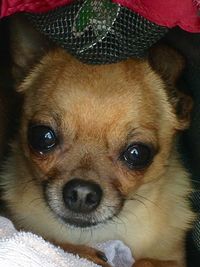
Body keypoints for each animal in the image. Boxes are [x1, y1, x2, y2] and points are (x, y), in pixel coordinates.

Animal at [0, 16, 195, 266]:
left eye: (137, 154)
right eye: (42, 137)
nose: (82, 193)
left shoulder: (174, 258)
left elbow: (148, 261)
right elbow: (55, 242)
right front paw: (87, 252)